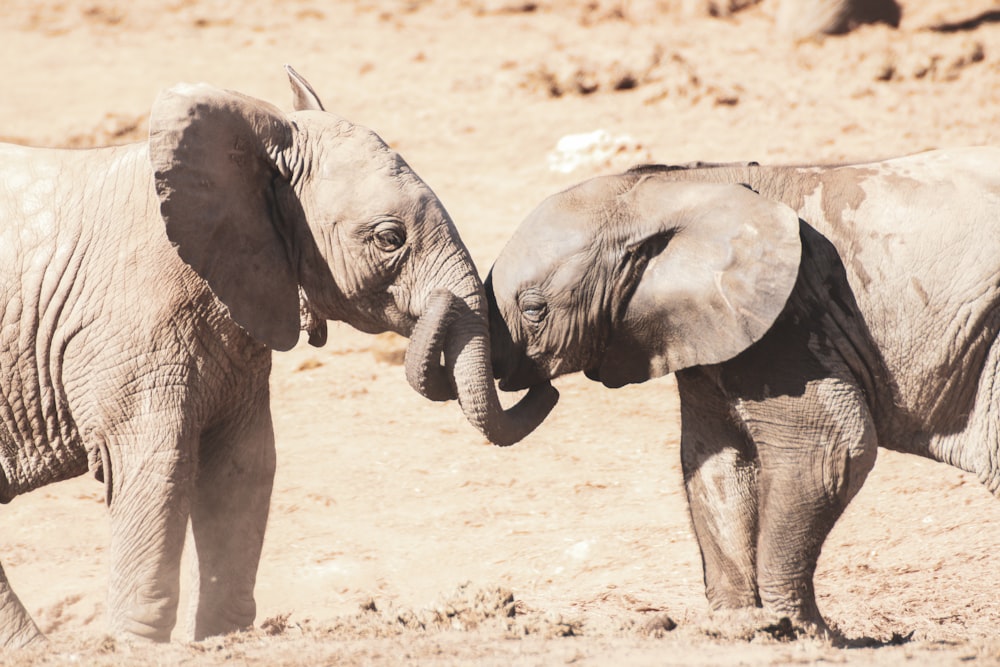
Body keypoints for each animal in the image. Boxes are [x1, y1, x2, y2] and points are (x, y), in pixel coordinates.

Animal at [0, 66, 556, 648]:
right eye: (389, 238)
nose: (544, 378)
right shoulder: (128, 328)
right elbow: (158, 462)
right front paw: (138, 647)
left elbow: (245, 466)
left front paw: (220, 638)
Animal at [486, 149, 1000, 640]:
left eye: (533, 310)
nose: (539, 387)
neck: (679, 186)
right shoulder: (707, 326)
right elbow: (716, 464)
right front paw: (740, 629)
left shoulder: (790, 320)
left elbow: (830, 452)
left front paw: (797, 630)